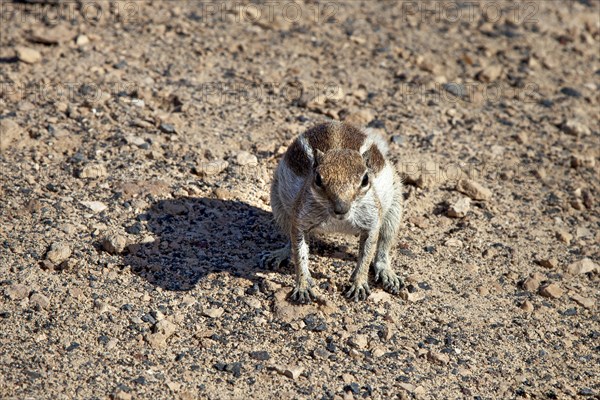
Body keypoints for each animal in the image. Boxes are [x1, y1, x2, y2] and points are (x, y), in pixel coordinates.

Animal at [262, 122, 404, 304]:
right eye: (317, 179)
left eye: (365, 180)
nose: (341, 208)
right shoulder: (301, 218)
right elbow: (299, 254)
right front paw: (303, 285)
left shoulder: (371, 221)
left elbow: (366, 256)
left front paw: (358, 284)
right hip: (278, 202)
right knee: (289, 237)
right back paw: (280, 254)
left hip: (395, 204)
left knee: (384, 243)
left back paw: (387, 272)